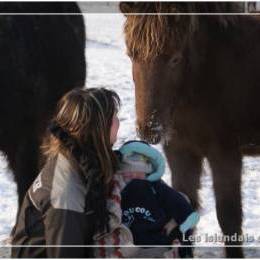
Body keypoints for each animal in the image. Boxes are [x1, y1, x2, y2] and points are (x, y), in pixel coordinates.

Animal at [120, 2, 260, 258]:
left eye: (175, 59)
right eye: (131, 55)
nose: (149, 129)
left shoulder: (225, 154)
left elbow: (229, 217)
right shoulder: (181, 152)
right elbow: (185, 206)